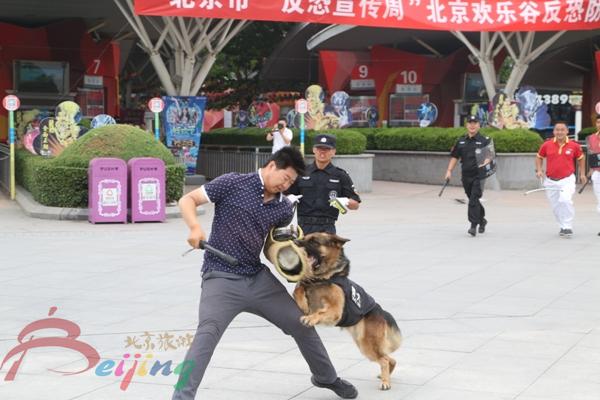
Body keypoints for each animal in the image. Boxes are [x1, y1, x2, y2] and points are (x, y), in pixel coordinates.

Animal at [292, 233, 404, 390]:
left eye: (314, 241)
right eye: (304, 237)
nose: (295, 241)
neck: (324, 278)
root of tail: (381, 312)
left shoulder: (335, 310)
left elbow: (319, 312)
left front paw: (310, 318)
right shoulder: (306, 287)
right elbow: (299, 288)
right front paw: (303, 303)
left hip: (367, 345)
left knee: (384, 360)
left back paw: (385, 382)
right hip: (364, 344)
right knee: (389, 359)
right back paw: (384, 376)